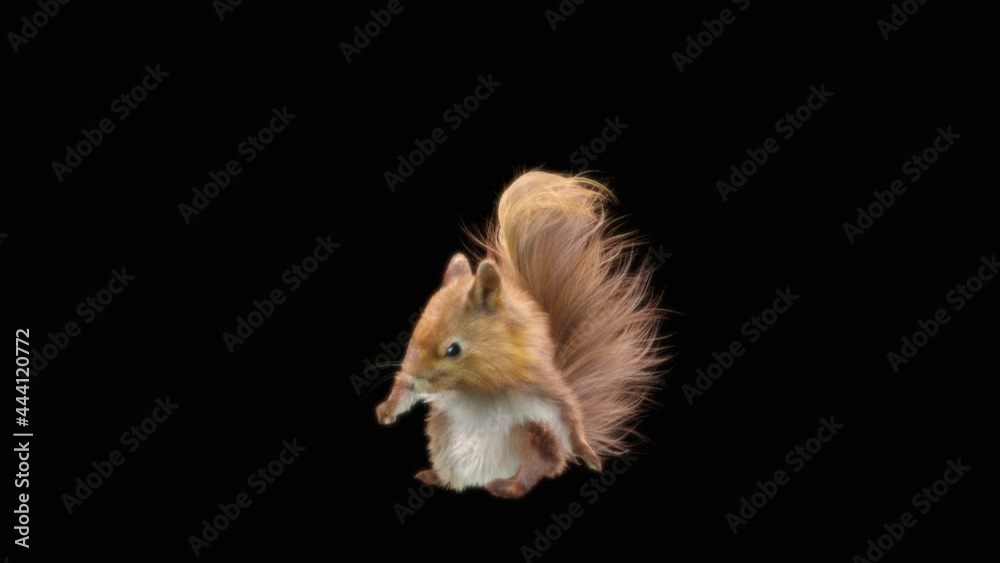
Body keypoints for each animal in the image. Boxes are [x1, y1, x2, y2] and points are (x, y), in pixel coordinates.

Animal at [375, 170, 665, 499]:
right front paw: (387, 408)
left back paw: (510, 485)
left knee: (535, 467)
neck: (475, 386)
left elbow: (565, 412)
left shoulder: (535, 385)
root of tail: (481, 479)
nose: (413, 377)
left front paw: (587, 452)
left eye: (453, 349)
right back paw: (436, 477)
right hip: (443, 441)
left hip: (534, 439)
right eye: (415, 332)